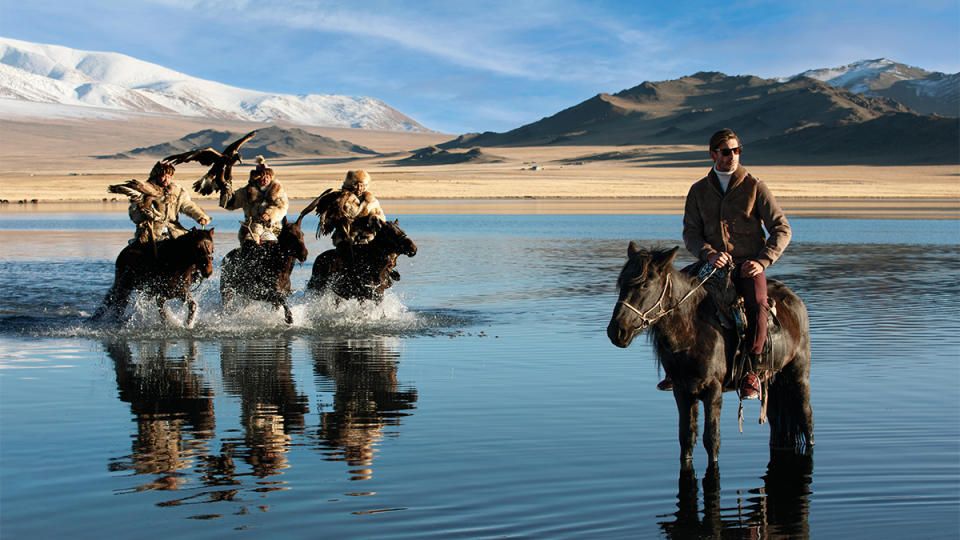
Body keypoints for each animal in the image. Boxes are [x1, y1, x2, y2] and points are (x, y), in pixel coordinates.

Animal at [608, 244, 808, 464]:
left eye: (644, 284)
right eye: (621, 283)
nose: (616, 331)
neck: (691, 330)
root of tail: (796, 301)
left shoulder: (713, 390)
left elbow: (711, 439)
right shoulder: (682, 390)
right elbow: (686, 437)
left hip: (799, 377)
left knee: (807, 422)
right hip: (772, 382)